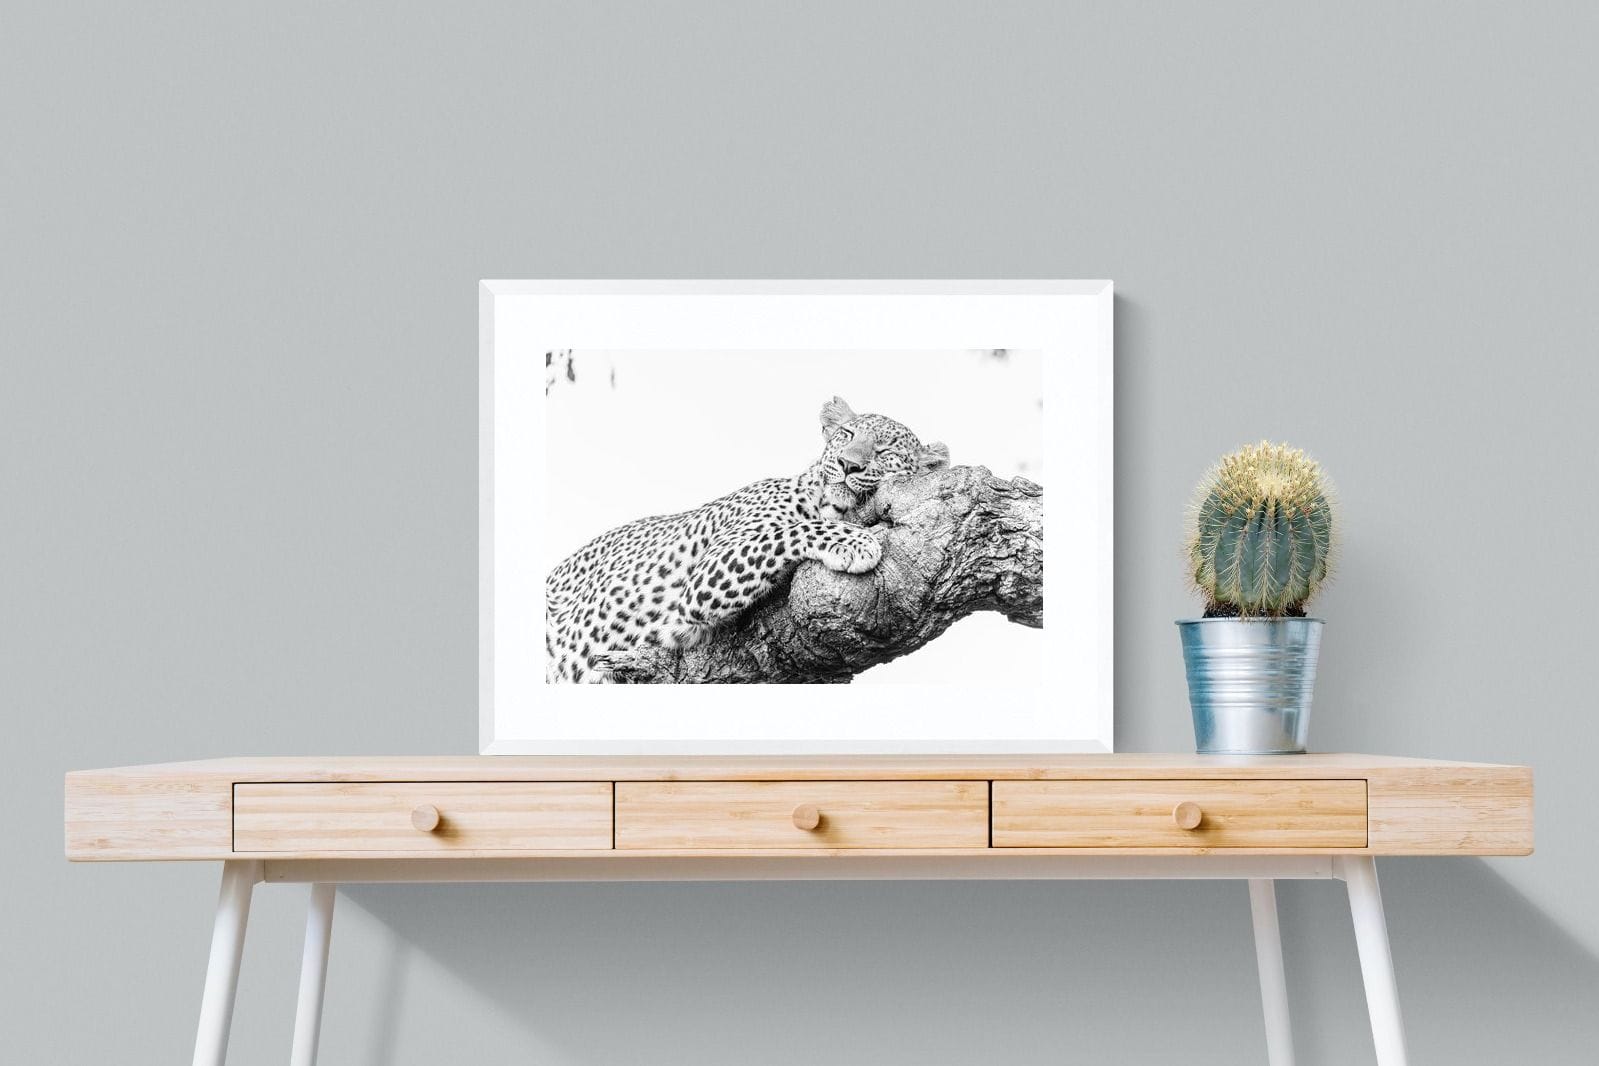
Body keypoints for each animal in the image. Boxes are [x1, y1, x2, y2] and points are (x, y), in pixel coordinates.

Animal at [545, 396, 949, 683]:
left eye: (885, 451)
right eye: (847, 435)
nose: (849, 465)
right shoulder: (705, 575)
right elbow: (789, 530)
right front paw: (856, 541)